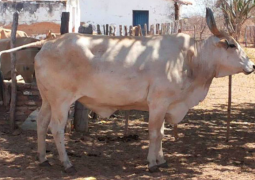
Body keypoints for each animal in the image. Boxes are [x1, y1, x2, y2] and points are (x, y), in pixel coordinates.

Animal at [0, 8, 254, 173]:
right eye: (231, 44)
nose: (251, 66)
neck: (191, 59)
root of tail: (48, 44)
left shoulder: (165, 106)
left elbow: (161, 133)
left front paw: (162, 160)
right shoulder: (158, 103)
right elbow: (155, 133)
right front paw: (152, 164)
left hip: (47, 99)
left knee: (42, 123)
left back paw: (43, 159)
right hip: (62, 100)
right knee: (56, 127)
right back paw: (67, 164)